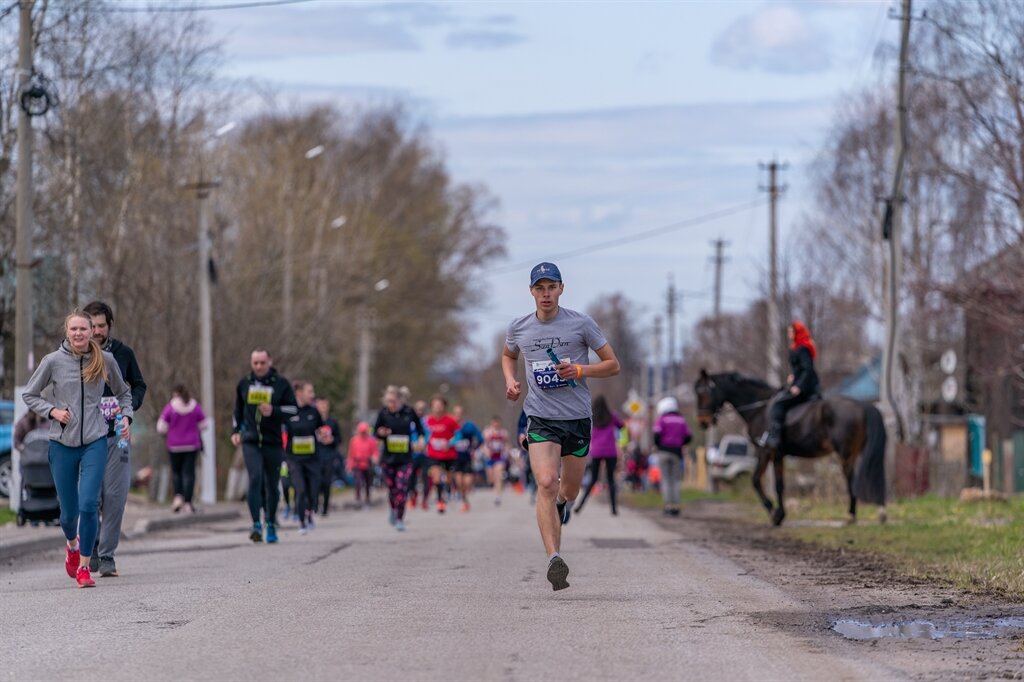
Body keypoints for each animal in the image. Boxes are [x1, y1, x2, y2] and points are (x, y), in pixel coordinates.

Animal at [696, 368, 888, 522]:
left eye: (703, 393)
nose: (703, 422)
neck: (759, 409)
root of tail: (862, 405)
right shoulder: (778, 455)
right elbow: (779, 485)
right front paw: (780, 514)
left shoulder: (765, 451)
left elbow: (757, 481)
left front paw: (774, 513)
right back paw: (879, 512)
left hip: (846, 454)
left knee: (852, 481)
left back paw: (851, 515)